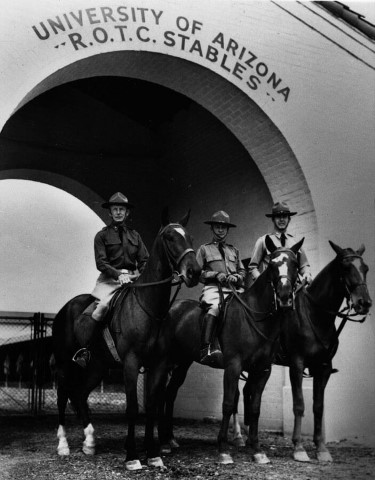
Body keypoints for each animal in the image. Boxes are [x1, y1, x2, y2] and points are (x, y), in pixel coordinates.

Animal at [52, 209, 203, 468]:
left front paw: (153, 454)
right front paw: (132, 456)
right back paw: (63, 445)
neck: (148, 309)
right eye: (170, 237)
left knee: (80, 394)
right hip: (66, 365)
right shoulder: (131, 363)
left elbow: (152, 406)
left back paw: (90, 442)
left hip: (97, 367)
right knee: (63, 395)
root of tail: (65, 309)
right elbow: (132, 408)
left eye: (190, 237)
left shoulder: (158, 365)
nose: (194, 272)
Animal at [147, 236, 306, 464]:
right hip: (164, 360)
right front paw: (223, 449)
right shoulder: (233, 366)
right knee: (161, 393)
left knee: (170, 393)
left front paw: (257, 449)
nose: (284, 297)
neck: (254, 317)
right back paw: (162, 443)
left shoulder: (262, 370)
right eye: (273, 265)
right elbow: (228, 403)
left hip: (183, 363)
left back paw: (169, 439)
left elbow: (255, 407)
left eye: (294, 263)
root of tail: (172, 308)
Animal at [274, 242, 374, 464]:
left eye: (365, 268)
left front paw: (321, 448)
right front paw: (298, 447)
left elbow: (318, 406)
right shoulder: (296, 365)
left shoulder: (323, 368)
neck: (315, 315)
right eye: (345, 268)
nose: (364, 303)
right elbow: (299, 404)